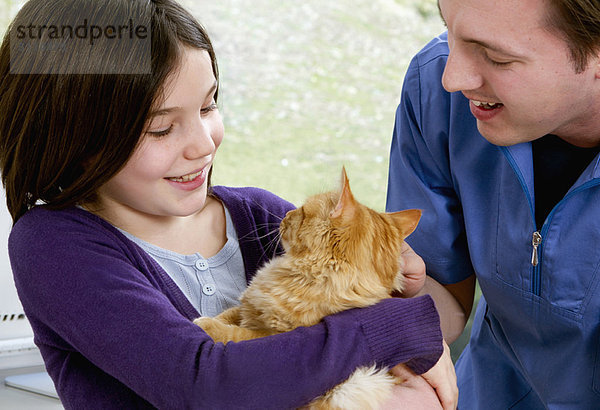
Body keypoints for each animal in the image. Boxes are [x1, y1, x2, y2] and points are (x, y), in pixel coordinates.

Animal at [195, 168, 420, 408]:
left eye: (302, 211)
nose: (287, 213)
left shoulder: (271, 336)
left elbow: (235, 333)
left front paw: (205, 324)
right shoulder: (249, 306)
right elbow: (230, 312)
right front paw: (207, 319)